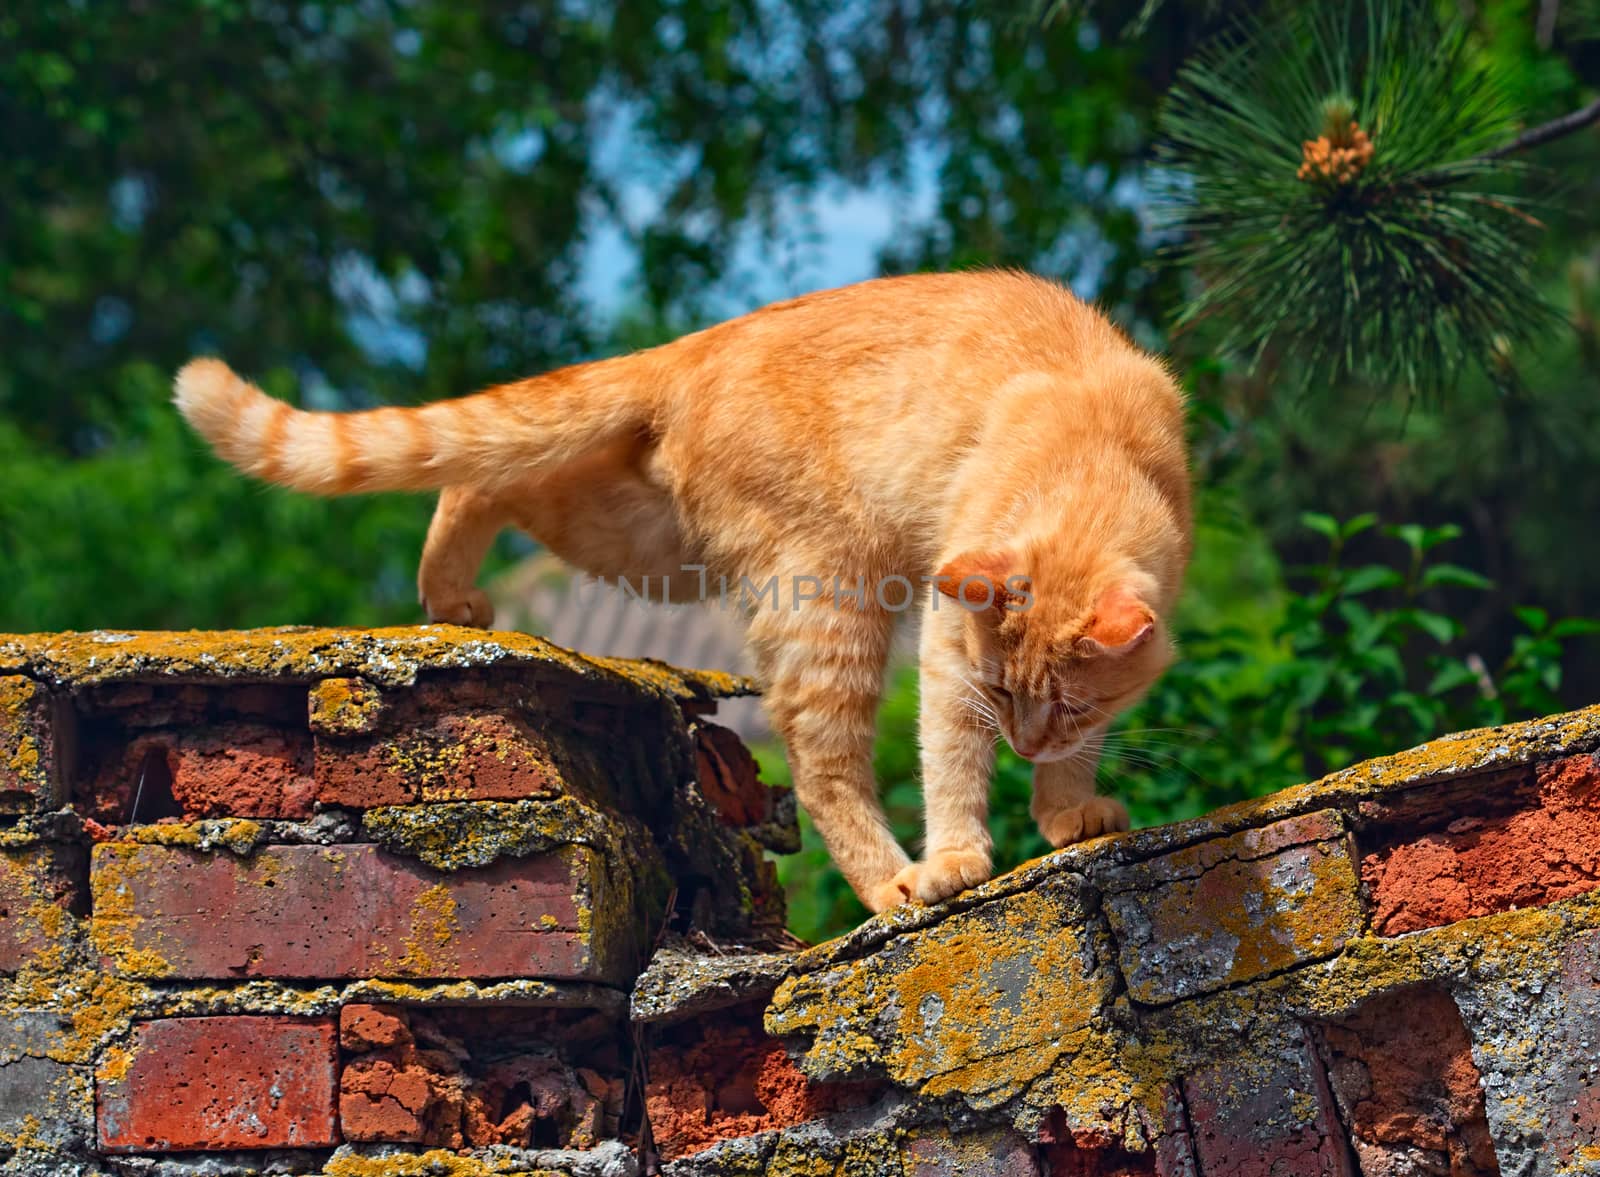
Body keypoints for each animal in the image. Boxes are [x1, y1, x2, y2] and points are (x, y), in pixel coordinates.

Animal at [181, 273, 1196, 908]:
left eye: (1068, 708)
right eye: (997, 692)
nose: (1023, 744)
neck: (1087, 447)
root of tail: (700, 343)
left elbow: (1077, 754)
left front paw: (1066, 811)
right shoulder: (951, 652)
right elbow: (949, 765)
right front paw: (958, 856)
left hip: (635, 534)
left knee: (479, 477)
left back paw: (452, 600)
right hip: (824, 589)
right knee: (821, 763)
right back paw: (893, 884)